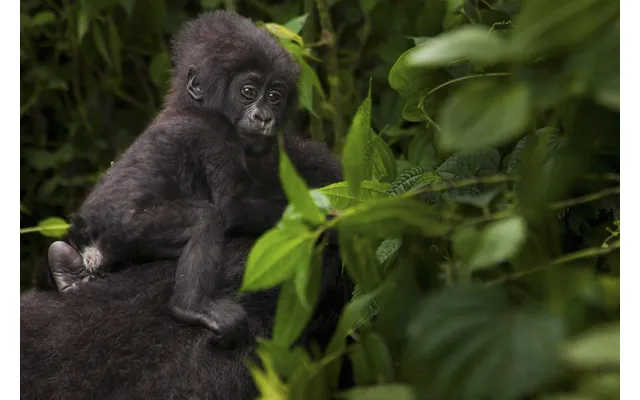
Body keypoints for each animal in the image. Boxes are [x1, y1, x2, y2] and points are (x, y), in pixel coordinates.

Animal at [46, 11, 333, 339]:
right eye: (248, 92)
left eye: (275, 97)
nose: (264, 117)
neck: (190, 104)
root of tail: (89, 241)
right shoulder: (215, 134)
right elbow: (230, 205)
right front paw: (320, 209)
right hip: (126, 227)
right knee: (206, 219)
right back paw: (191, 308)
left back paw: (68, 274)